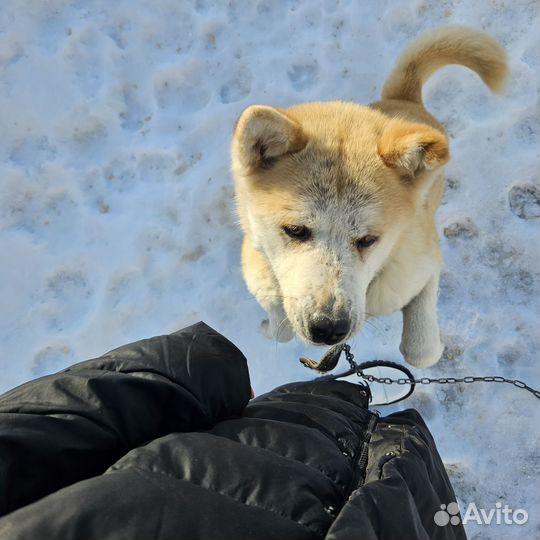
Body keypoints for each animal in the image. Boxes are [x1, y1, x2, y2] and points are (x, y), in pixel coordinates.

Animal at [231, 27, 506, 370]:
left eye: (368, 240)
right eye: (295, 230)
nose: (329, 328)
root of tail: (403, 99)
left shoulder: (424, 267)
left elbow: (420, 351)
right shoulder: (263, 280)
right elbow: (281, 326)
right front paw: (270, 326)